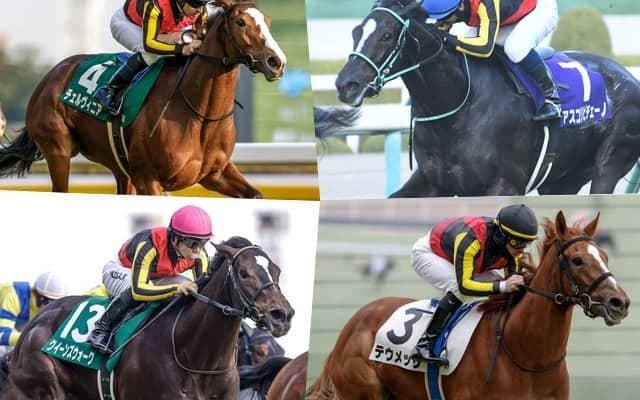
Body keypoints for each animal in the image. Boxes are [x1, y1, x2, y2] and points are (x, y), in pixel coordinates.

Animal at [0, 0, 286, 197]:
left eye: (269, 22)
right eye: (241, 23)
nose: (276, 62)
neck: (200, 115)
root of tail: (49, 76)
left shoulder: (215, 174)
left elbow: (255, 195)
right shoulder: (149, 179)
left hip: (121, 169)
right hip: (58, 151)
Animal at [0, 236, 295, 400]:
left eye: (277, 271)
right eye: (244, 273)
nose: (282, 315)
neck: (197, 358)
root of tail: (36, 322)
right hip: (41, 387)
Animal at [307, 211, 630, 399]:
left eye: (603, 255)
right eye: (577, 260)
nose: (620, 302)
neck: (528, 357)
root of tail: (351, 326)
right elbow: (461, 286)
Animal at [333, 0, 640, 197]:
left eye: (386, 35)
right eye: (356, 32)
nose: (346, 84)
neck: (457, 107)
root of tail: (628, 76)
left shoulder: (504, 185)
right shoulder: (432, 183)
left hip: (608, 166)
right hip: (562, 180)